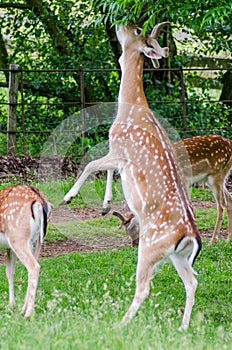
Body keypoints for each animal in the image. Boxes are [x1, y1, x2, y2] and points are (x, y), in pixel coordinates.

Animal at [0, 186, 51, 318]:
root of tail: (39, 199)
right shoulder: (9, 249)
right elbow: (9, 272)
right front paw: (11, 305)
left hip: (18, 237)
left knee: (34, 267)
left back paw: (28, 313)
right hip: (37, 240)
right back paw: (23, 309)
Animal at [61, 22, 201, 330]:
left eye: (137, 30)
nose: (117, 23)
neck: (129, 108)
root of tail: (191, 235)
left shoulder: (119, 147)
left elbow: (91, 164)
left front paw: (68, 197)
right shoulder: (119, 156)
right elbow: (106, 169)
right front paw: (105, 205)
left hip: (149, 248)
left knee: (144, 287)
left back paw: (121, 323)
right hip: (178, 256)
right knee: (193, 281)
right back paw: (183, 327)